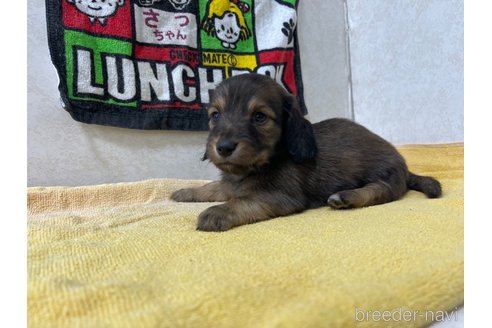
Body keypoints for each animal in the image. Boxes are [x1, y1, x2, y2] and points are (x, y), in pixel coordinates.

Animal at [173, 73, 442, 232]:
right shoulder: (230, 184)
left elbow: (243, 201)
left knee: (378, 191)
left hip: (385, 176)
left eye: (259, 117)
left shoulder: (281, 196)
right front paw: (185, 191)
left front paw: (217, 211)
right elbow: (212, 187)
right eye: (215, 115)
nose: (224, 147)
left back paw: (346, 197)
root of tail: (404, 166)